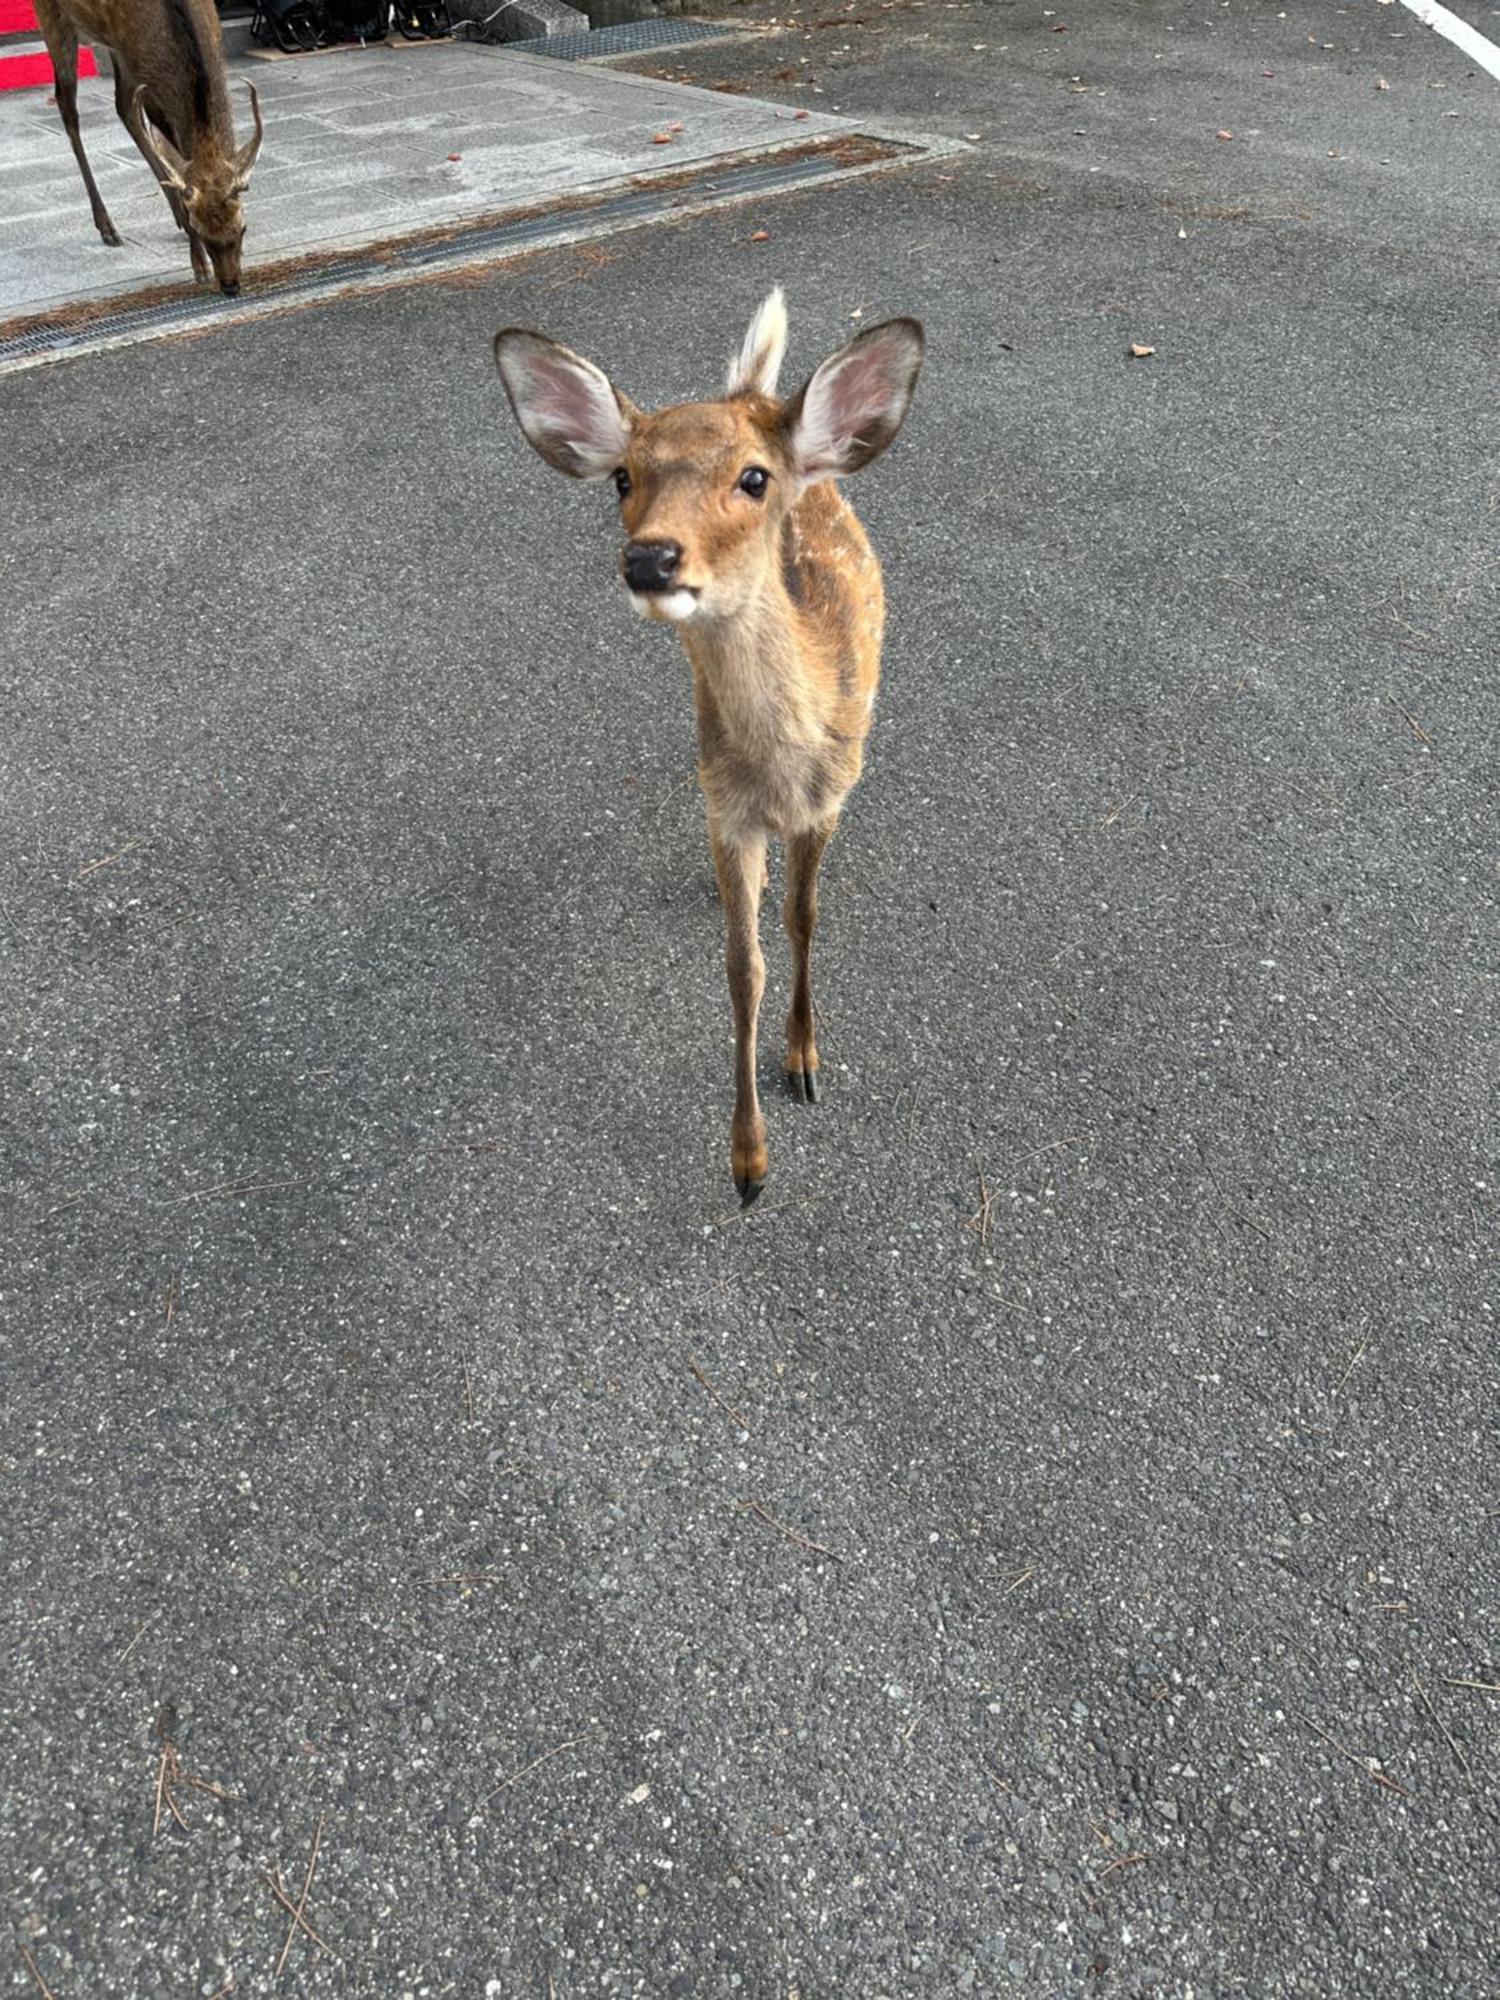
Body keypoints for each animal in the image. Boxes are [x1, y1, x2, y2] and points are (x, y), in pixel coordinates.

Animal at [34, 0, 264, 292]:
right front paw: (199, 263)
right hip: (53, 21)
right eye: (200, 230)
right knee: (67, 106)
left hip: (118, 50)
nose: (231, 285)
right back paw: (107, 226)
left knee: (122, 107)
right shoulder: (148, 78)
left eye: (243, 227)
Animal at [500, 292, 924, 1200]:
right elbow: (741, 965)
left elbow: (802, 917)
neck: (781, 771)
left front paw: (803, 1060)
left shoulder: (829, 798)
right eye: (624, 477)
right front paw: (747, 1162)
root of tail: (767, 401)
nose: (650, 559)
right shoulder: (728, 811)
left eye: (753, 479)